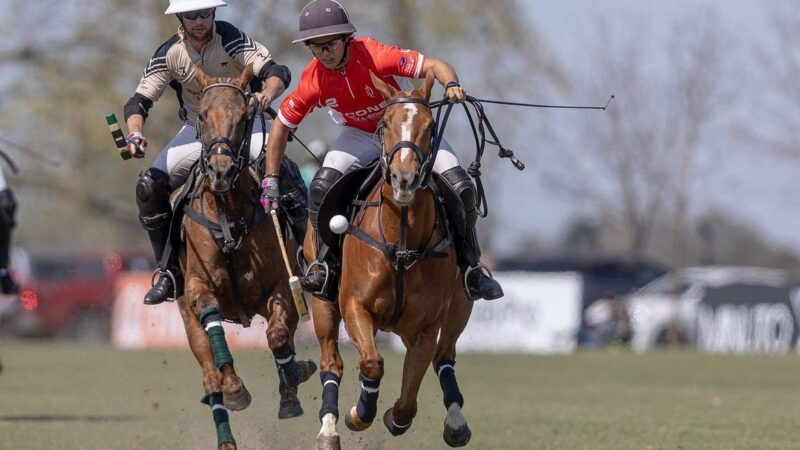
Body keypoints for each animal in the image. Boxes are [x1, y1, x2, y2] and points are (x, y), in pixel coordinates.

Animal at [178, 64, 316, 450]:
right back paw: (226, 426)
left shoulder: (282, 287)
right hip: (185, 315)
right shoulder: (197, 285)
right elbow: (209, 313)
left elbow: (279, 337)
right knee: (209, 376)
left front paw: (293, 385)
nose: (221, 172)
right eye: (202, 115)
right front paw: (236, 388)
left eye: (243, 116)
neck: (230, 212)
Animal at [308, 72, 476, 448]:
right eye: (385, 123)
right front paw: (359, 414)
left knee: (445, 357)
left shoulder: (426, 325)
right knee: (331, 362)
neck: (401, 242)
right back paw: (328, 428)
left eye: (430, 126)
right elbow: (372, 362)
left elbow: (408, 400)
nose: (404, 178)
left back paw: (456, 421)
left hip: (461, 303)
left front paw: (392, 418)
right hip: (322, 302)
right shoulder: (354, 304)